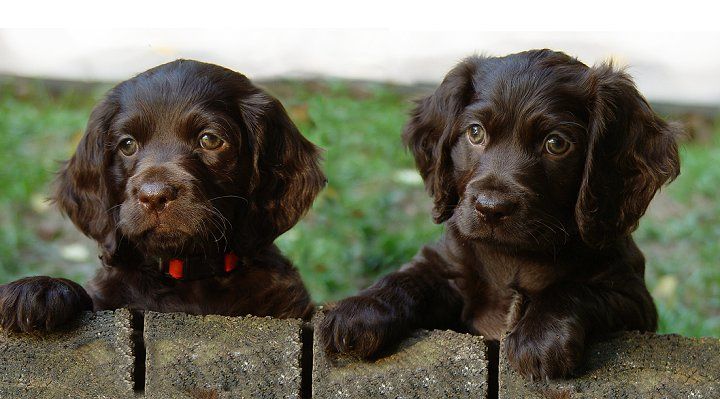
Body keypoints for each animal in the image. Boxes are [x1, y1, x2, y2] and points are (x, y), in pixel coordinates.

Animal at [320, 48, 680, 380]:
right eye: (475, 133)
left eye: (556, 143)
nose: (490, 208)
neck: (513, 256)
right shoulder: (446, 267)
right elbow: (406, 278)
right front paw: (358, 311)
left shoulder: (633, 297)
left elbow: (574, 289)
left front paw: (539, 338)